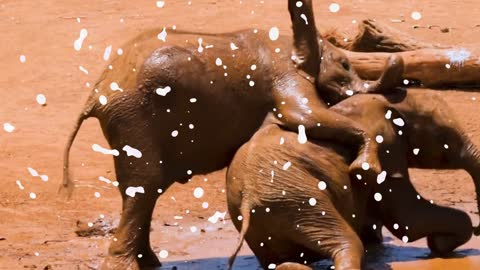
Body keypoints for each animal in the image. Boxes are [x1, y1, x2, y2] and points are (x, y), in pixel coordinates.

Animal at [61, 1, 404, 268]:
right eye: (345, 64)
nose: (395, 61)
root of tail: (97, 92)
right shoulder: (285, 74)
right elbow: (305, 117)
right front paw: (364, 168)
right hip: (134, 117)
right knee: (144, 187)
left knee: (140, 191)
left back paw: (149, 263)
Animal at [227, 89, 480, 270]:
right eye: (445, 138)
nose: (479, 230)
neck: (393, 102)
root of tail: (248, 201)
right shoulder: (386, 149)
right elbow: (407, 219)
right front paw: (443, 243)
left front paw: (442, 244)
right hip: (297, 200)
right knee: (349, 244)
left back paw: (291, 267)